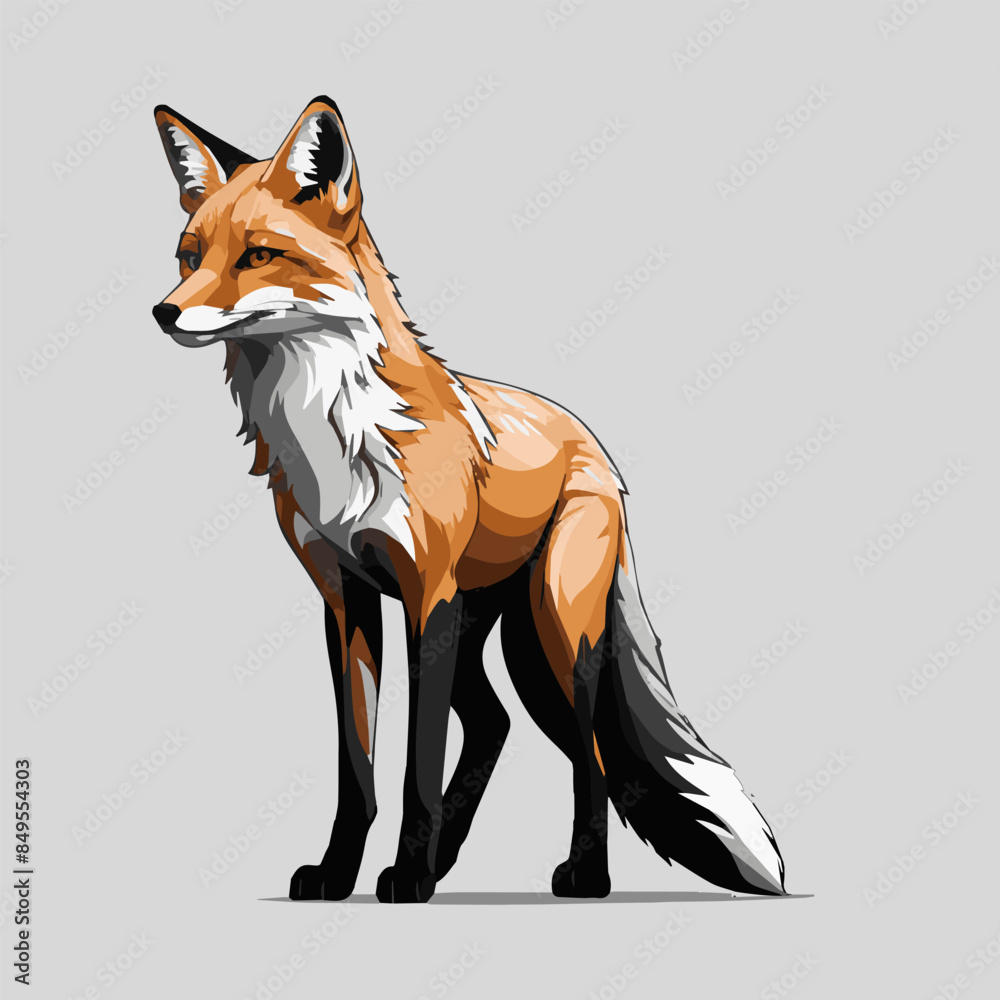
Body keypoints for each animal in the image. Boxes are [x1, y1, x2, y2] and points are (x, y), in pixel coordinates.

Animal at [152, 97, 786, 903]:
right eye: (189, 254)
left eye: (258, 256)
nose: (162, 313)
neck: (331, 431)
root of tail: (596, 448)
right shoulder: (345, 599)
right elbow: (357, 769)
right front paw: (342, 872)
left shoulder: (429, 596)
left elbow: (416, 762)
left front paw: (408, 873)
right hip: (501, 634)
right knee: (496, 726)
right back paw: (454, 855)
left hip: (554, 630)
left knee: (589, 753)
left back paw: (584, 873)